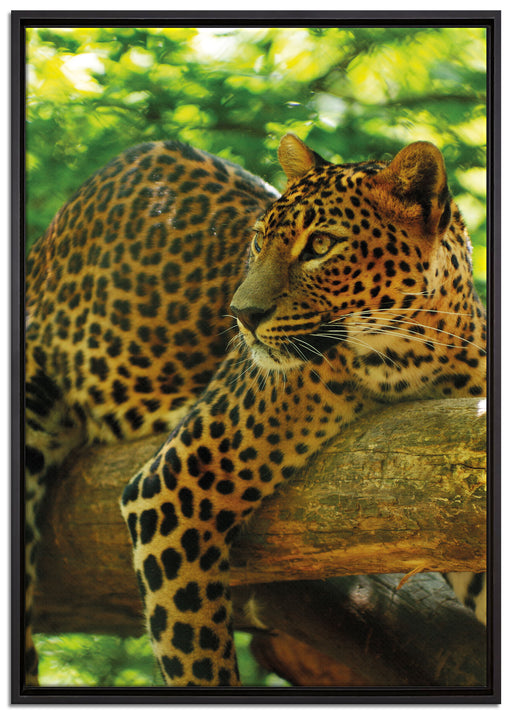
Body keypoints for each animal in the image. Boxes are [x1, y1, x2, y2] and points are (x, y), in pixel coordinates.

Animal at [25, 134, 487, 687]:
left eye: (320, 245)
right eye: (258, 242)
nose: (241, 315)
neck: (414, 357)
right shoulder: (172, 485)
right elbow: (195, 652)